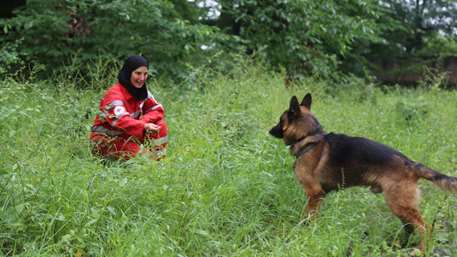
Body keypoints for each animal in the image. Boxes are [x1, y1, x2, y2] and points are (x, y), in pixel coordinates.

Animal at [268, 92, 456, 250]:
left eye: (280, 120)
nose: (269, 131)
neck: (309, 137)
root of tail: (410, 164)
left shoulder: (314, 194)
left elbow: (306, 217)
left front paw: (303, 232)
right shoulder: (319, 196)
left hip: (399, 204)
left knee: (425, 227)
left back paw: (421, 249)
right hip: (399, 206)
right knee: (410, 227)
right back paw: (401, 245)